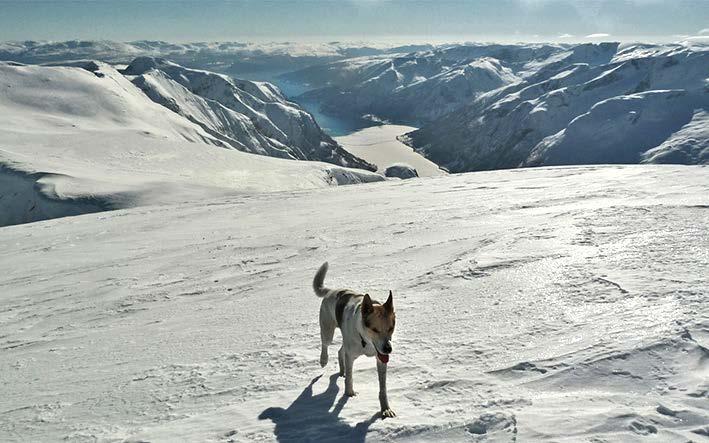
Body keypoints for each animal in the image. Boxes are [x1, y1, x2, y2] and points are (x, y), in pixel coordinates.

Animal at [312, 262, 396, 418]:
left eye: (391, 328)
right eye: (375, 329)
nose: (388, 349)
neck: (366, 341)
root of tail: (331, 291)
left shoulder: (380, 359)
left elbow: (383, 388)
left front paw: (385, 409)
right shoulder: (351, 354)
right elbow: (350, 378)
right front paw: (349, 393)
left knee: (340, 351)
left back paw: (342, 370)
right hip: (327, 329)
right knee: (325, 344)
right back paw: (324, 360)